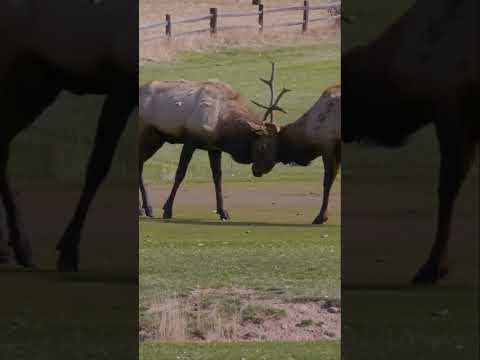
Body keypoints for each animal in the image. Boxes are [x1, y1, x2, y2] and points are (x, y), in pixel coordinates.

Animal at [137, 66, 290, 221]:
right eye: (262, 146)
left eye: (276, 147)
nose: (261, 170)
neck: (223, 127)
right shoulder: (190, 140)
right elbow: (180, 173)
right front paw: (167, 210)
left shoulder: (214, 148)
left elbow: (218, 176)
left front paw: (222, 211)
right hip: (145, 135)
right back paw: (144, 208)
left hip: (156, 139)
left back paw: (145, 209)